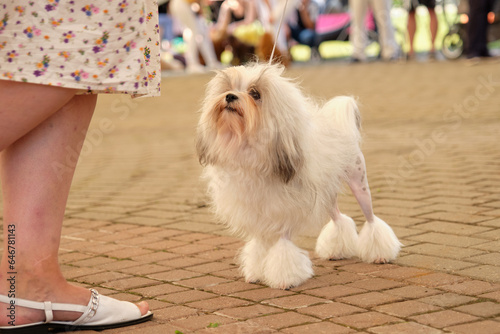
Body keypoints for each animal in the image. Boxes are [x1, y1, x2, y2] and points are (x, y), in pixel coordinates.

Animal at [196, 64, 402, 288]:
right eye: (229, 88)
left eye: (255, 94)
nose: (230, 96)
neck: (247, 146)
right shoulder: (256, 210)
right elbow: (259, 245)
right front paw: (256, 271)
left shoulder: (284, 208)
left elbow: (283, 246)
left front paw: (285, 278)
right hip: (326, 195)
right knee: (339, 219)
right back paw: (336, 250)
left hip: (359, 185)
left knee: (371, 219)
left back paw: (380, 254)